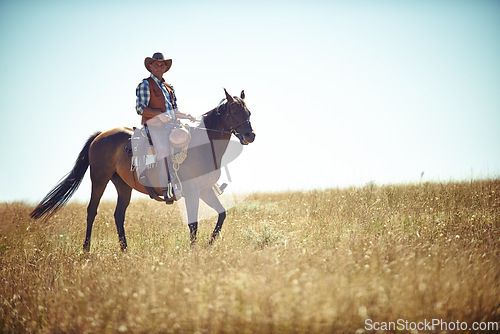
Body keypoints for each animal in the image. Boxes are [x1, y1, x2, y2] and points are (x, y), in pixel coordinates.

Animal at [31, 88, 254, 250]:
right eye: (234, 111)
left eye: (249, 112)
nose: (250, 135)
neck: (201, 146)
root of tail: (100, 135)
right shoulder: (192, 191)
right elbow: (194, 223)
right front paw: (194, 250)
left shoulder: (204, 190)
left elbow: (221, 214)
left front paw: (208, 244)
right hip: (99, 178)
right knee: (92, 211)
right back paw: (86, 250)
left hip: (122, 185)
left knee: (118, 215)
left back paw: (125, 250)